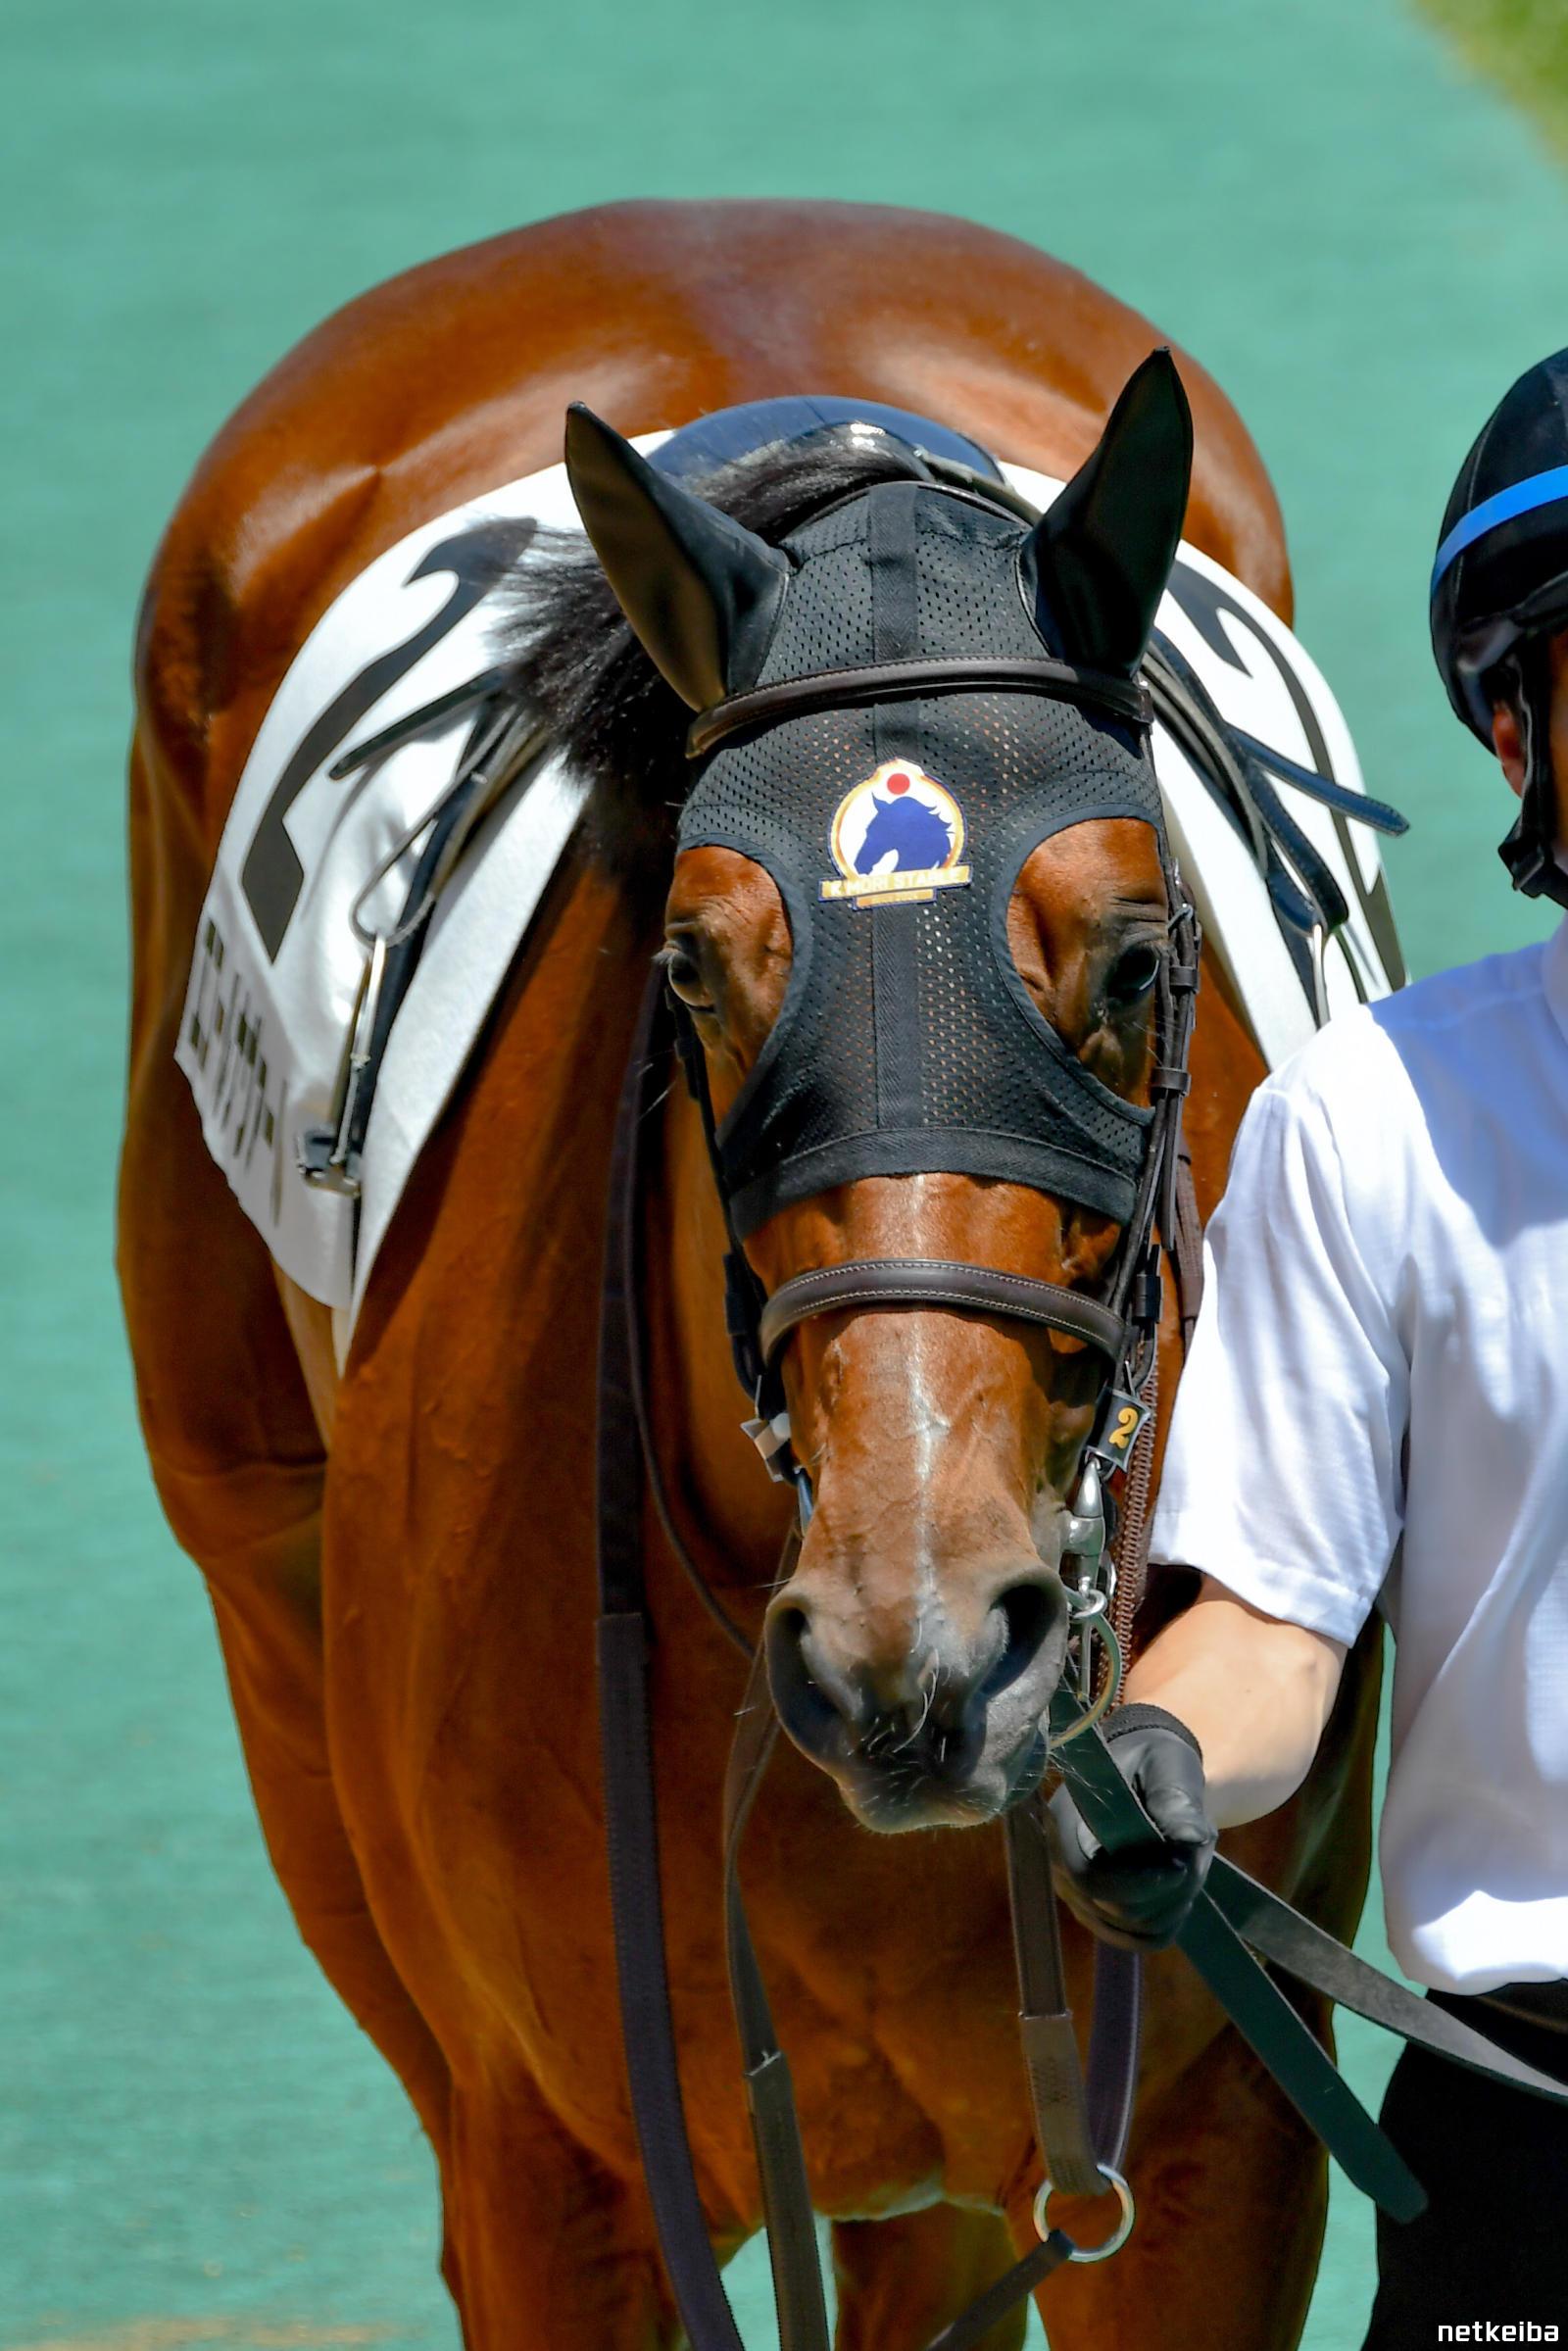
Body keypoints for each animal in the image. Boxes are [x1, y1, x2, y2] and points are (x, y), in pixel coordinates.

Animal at [119, 198, 1382, 2348]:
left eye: (1139, 959)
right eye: (693, 967)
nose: (921, 1639)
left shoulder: (1213, 2140)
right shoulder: (559, 2168)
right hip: (269, 1615)